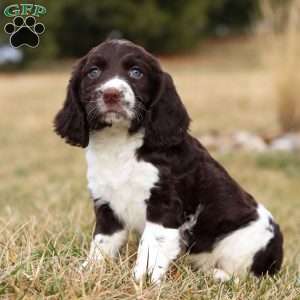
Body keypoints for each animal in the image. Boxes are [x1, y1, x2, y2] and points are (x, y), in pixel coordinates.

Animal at [54, 38, 284, 282]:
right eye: (93, 72)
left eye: (136, 73)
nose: (111, 94)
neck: (119, 144)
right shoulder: (106, 204)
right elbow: (101, 243)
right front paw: (87, 271)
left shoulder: (164, 204)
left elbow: (151, 244)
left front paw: (142, 280)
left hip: (244, 244)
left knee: (245, 276)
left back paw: (218, 275)